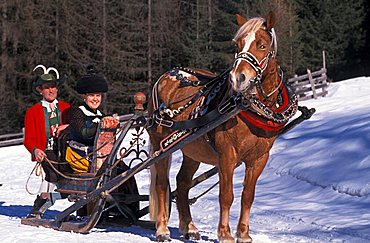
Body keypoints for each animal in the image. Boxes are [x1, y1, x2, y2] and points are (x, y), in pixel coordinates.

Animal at [147, 10, 298, 242]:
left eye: (262, 45)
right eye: (238, 45)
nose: (238, 78)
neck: (251, 108)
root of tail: (166, 76)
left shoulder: (259, 158)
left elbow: (247, 196)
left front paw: (243, 234)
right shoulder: (227, 155)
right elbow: (226, 195)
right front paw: (225, 234)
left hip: (193, 150)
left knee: (183, 182)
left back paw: (189, 227)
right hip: (159, 146)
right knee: (162, 184)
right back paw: (162, 230)